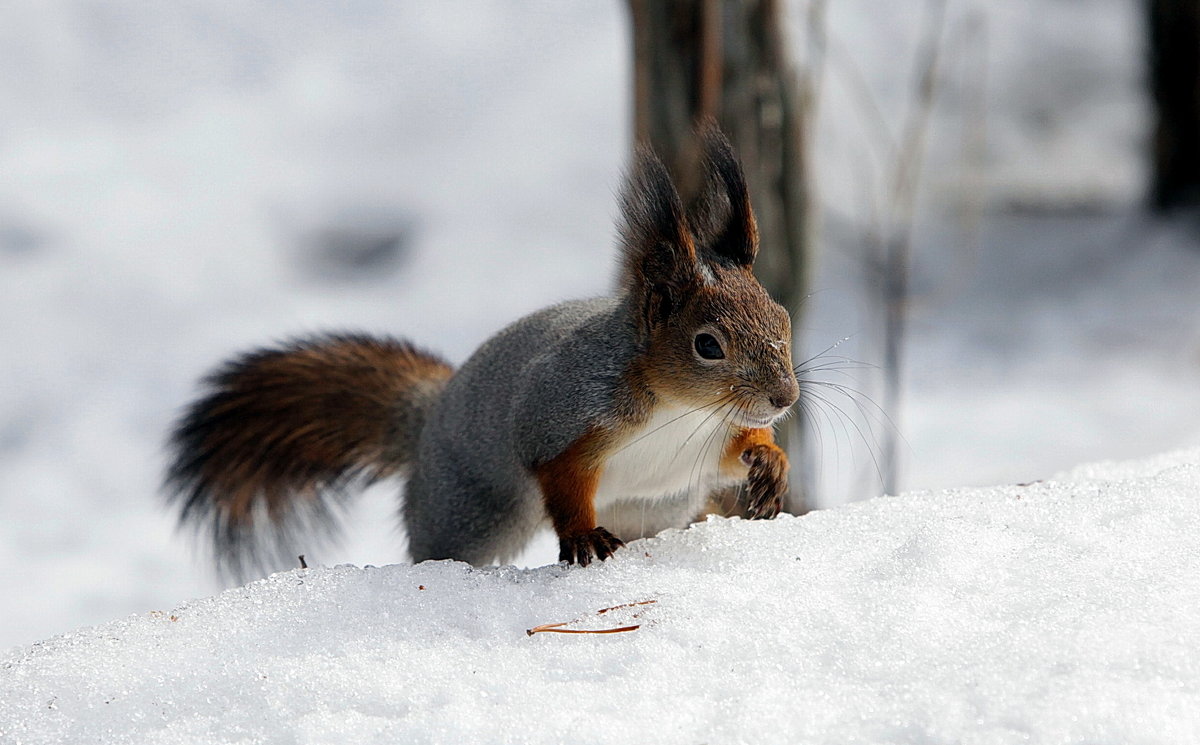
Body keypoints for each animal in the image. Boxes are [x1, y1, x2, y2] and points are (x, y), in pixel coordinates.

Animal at [159, 126, 796, 575]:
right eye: (707, 346)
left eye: (783, 318)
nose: (784, 397)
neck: (680, 409)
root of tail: (426, 424)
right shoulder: (561, 414)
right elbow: (557, 474)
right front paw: (582, 535)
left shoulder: (708, 441)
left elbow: (734, 452)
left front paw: (771, 463)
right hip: (470, 511)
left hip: (655, 506)